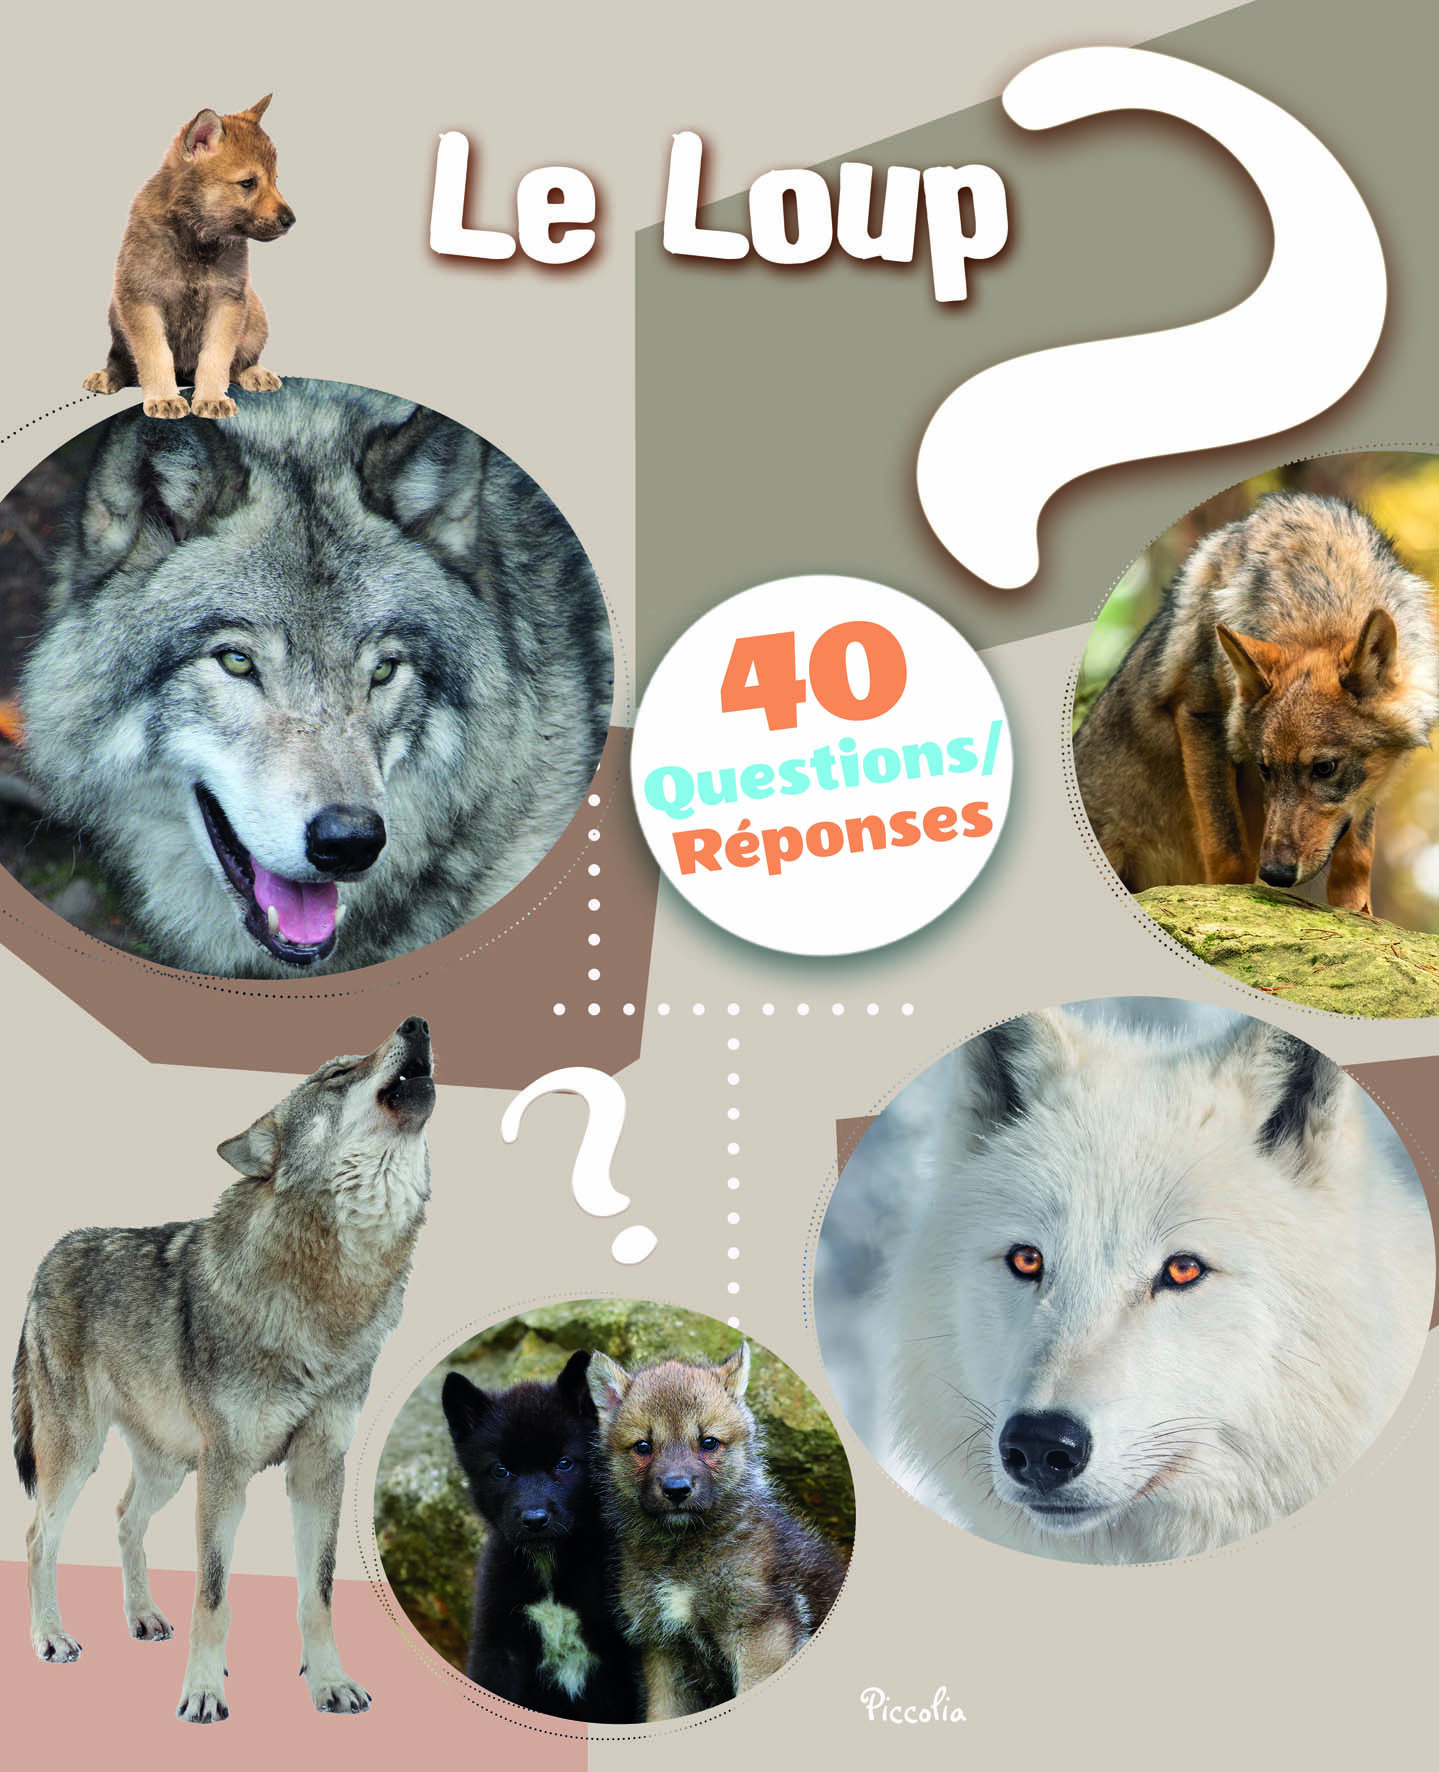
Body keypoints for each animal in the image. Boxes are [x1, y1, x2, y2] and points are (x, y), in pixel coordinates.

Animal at [12, 1017, 436, 1721]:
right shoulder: (227, 1470)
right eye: (336, 1074)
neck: (329, 1288)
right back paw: (51, 1637)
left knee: (123, 1518)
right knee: (38, 1537)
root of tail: (52, 1253)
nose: (417, 1024)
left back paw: (143, 1616)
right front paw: (205, 1691)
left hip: (169, 1468)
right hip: (81, 1455)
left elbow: (318, 1594)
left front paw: (329, 1682)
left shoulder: (319, 1469)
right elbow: (213, 1596)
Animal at [83, 96, 294, 419]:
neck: (196, 242)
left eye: (275, 180)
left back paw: (255, 372)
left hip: (255, 314)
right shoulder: (141, 299)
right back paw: (107, 375)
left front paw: (211, 398)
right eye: (248, 183)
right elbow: (155, 355)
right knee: (121, 359)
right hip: (116, 313)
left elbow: (216, 357)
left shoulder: (227, 301)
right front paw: (164, 398)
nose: (290, 220)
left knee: (240, 362)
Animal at [588, 1345, 846, 1720]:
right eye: (642, 1446)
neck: (681, 1555)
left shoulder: (759, 1633)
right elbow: (660, 1715)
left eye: (708, 1443)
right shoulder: (662, 1652)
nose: (676, 1489)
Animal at [1075, 493, 1439, 914]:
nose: (1275, 873)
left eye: (1325, 768)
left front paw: (1357, 914)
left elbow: (1357, 855)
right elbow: (1227, 849)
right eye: (1264, 769)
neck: (1318, 592)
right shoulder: (1200, 713)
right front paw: (1228, 903)